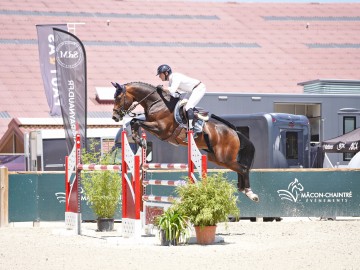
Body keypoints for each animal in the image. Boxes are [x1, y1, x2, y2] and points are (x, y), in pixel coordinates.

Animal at [112, 81, 258, 201]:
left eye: (118, 98)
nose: (114, 117)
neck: (157, 103)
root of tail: (235, 132)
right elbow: (134, 121)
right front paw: (139, 140)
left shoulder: (161, 129)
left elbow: (135, 121)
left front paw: (139, 141)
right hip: (217, 158)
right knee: (240, 168)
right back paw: (242, 189)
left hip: (224, 158)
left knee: (243, 169)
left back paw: (250, 193)